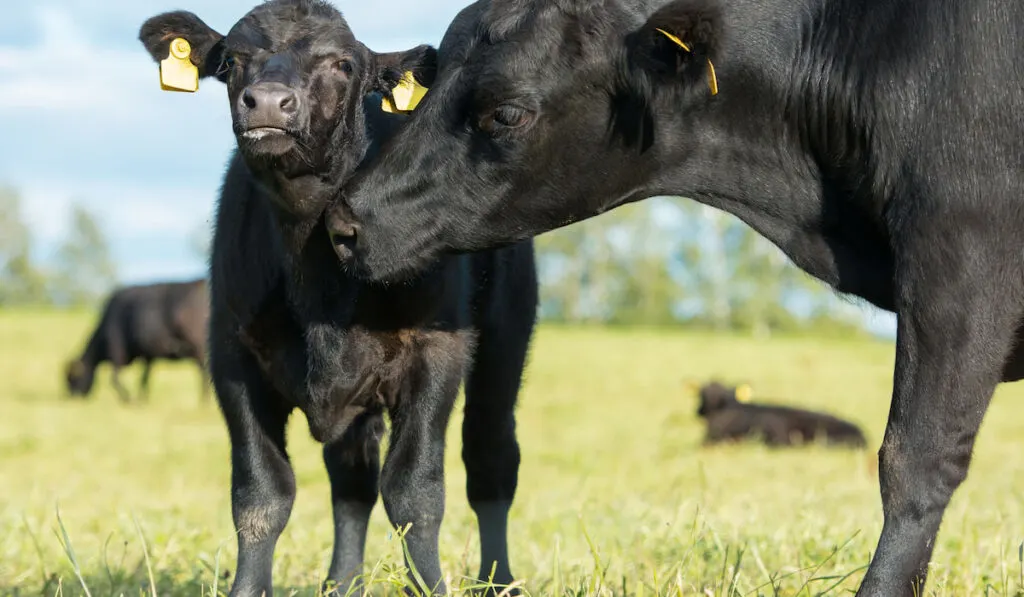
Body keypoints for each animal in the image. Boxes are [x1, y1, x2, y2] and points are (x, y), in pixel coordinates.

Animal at [64, 278, 209, 401]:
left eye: (72, 379)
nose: (71, 398)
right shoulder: (148, 355)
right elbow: (144, 379)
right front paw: (142, 399)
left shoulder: (116, 352)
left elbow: (114, 379)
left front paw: (129, 399)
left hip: (199, 347)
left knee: (204, 374)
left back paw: (203, 401)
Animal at [139, 1, 536, 597]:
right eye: (231, 60)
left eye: (343, 64)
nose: (268, 102)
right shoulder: (233, 355)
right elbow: (261, 494)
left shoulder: (435, 353)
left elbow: (415, 492)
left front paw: (430, 583)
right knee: (352, 479)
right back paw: (342, 582)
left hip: (506, 334)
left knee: (490, 458)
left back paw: (499, 580)